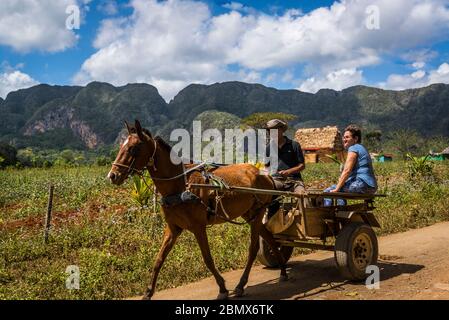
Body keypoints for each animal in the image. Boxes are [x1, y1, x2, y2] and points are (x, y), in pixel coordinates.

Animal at [107, 120, 286, 300]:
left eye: (134, 148)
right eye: (121, 146)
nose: (112, 176)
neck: (180, 186)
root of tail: (264, 173)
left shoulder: (198, 227)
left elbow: (207, 259)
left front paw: (222, 288)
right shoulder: (173, 228)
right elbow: (158, 260)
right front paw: (148, 292)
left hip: (258, 213)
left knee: (253, 249)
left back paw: (242, 284)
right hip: (249, 214)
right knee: (270, 239)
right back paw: (283, 270)